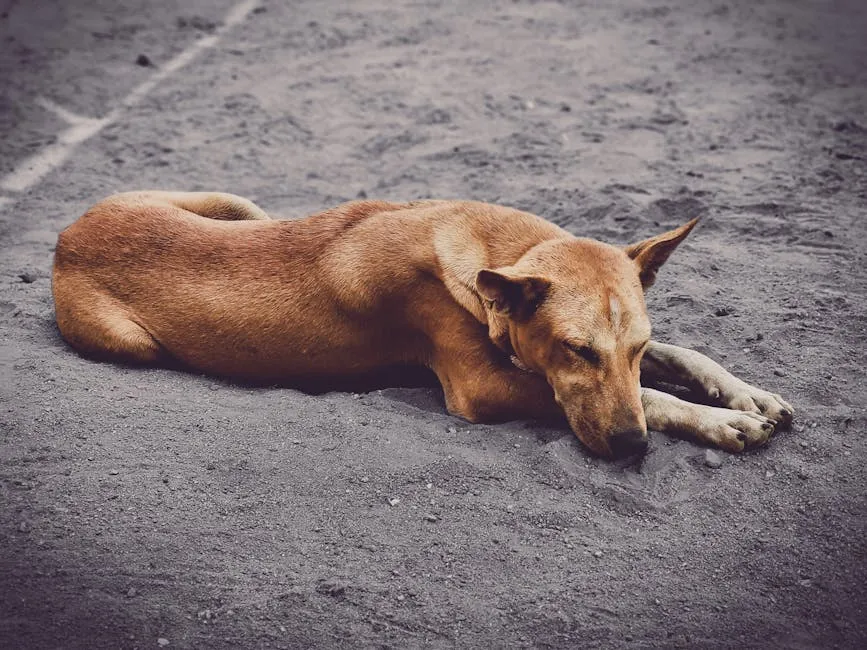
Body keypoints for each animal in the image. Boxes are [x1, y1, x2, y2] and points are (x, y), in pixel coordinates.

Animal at [52, 190, 792, 458]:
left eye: (632, 347)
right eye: (574, 351)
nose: (632, 447)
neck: (493, 252)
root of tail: (68, 230)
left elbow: (679, 358)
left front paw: (745, 395)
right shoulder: (485, 388)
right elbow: (653, 396)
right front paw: (717, 421)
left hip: (240, 206)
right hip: (134, 344)